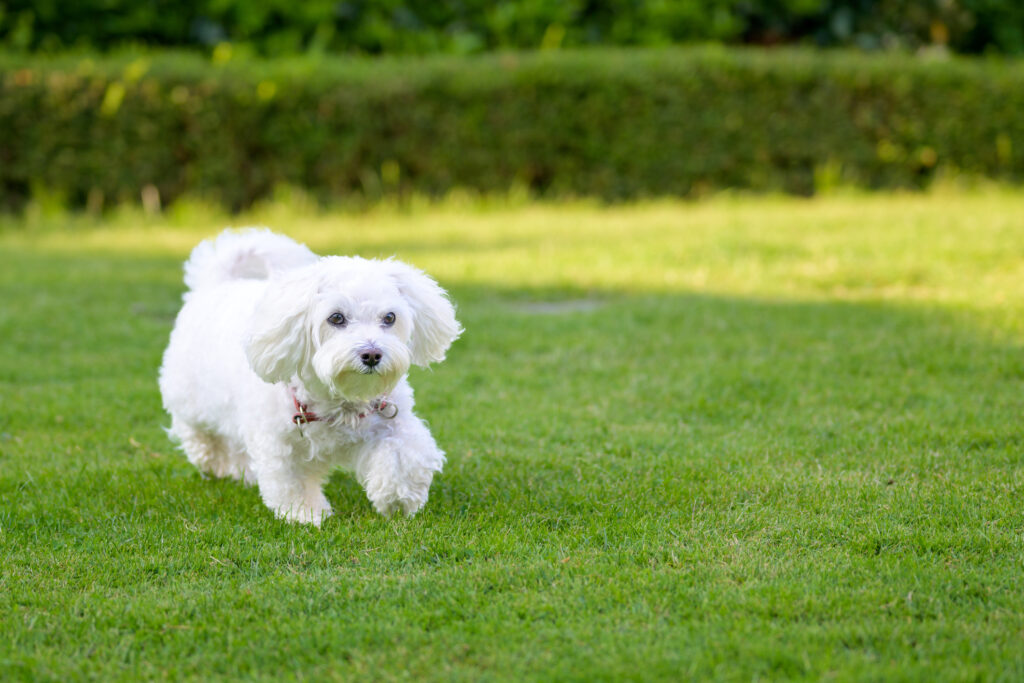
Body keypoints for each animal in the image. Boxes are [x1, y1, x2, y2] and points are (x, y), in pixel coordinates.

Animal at [157, 229, 462, 524]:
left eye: (390, 317)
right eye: (336, 318)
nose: (372, 354)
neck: (340, 400)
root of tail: (218, 282)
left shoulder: (392, 420)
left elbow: (403, 457)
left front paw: (398, 498)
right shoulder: (281, 443)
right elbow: (293, 483)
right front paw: (305, 514)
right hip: (191, 399)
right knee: (200, 434)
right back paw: (217, 461)